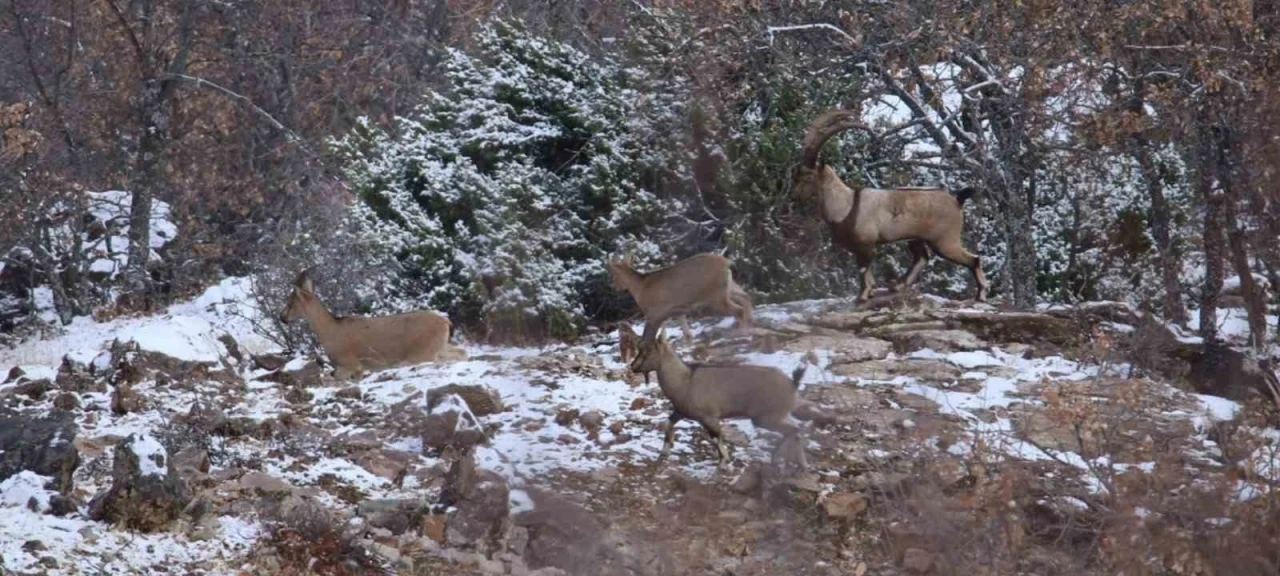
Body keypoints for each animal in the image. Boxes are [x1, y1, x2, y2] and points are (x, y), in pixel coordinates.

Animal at [277, 271, 468, 381]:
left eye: (291, 302)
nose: (282, 317)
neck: (331, 330)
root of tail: (446, 322)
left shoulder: (348, 364)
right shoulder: (358, 371)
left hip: (423, 352)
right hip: (440, 347)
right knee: (462, 352)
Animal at [606, 250, 747, 343]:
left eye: (613, 274)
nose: (614, 287)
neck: (639, 288)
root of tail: (727, 262)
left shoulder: (653, 313)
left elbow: (649, 337)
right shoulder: (678, 309)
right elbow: (685, 331)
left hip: (716, 295)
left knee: (739, 309)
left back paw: (742, 333)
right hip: (728, 287)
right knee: (745, 297)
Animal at [632, 330, 803, 471]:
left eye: (648, 351)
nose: (633, 367)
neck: (684, 381)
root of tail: (792, 384)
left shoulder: (709, 417)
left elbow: (716, 437)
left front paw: (723, 463)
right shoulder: (681, 412)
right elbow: (668, 423)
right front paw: (664, 452)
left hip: (765, 417)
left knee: (793, 430)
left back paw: (779, 459)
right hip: (777, 416)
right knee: (796, 430)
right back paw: (798, 463)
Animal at [788, 109, 988, 303]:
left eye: (808, 177)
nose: (794, 197)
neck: (846, 205)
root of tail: (957, 200)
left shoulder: (866, 245)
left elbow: (863, 270)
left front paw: (863, 296)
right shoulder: (859, 247)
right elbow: (865, 270)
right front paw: (869, 292)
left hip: (945, 240)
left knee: (973, 259)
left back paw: (981, 295)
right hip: (917, 238)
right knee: (921, 258)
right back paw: (897, 286)